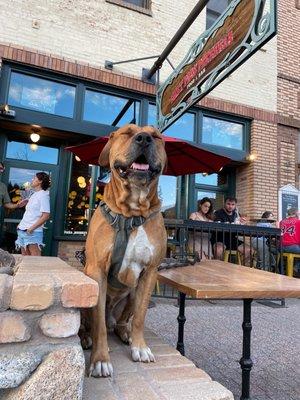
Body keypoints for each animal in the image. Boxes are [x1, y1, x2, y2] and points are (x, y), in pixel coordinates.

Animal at [84, 123, 166, 376]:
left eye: (156, 136)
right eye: (127, 132)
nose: (144, 138)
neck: (131, 214)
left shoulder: (149, 273)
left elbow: (140, 316)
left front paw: (140, 347)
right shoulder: (97, 270)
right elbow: (98, 324)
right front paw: (100, 359)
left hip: (131, 292)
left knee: (123, 319)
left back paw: (125, 333)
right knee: (94, 323)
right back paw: (85, 337)